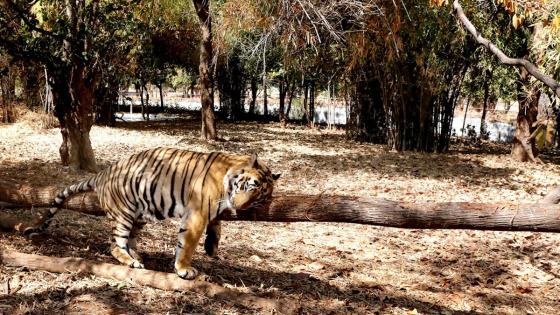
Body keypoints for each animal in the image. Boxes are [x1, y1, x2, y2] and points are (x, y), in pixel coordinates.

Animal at [23, 149, 280, 280]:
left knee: (128, 240)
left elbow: (216, 225)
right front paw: (184, 268)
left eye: (259, 197)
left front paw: (211, 246)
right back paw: (131, 261)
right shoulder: (196, 214)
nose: (240, 206)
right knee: (114, 244)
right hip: (124, 213)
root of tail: (102, 173)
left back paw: (136, 254)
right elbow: (187, 244)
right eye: (250, 186)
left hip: (139, 215)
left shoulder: (212, 209)